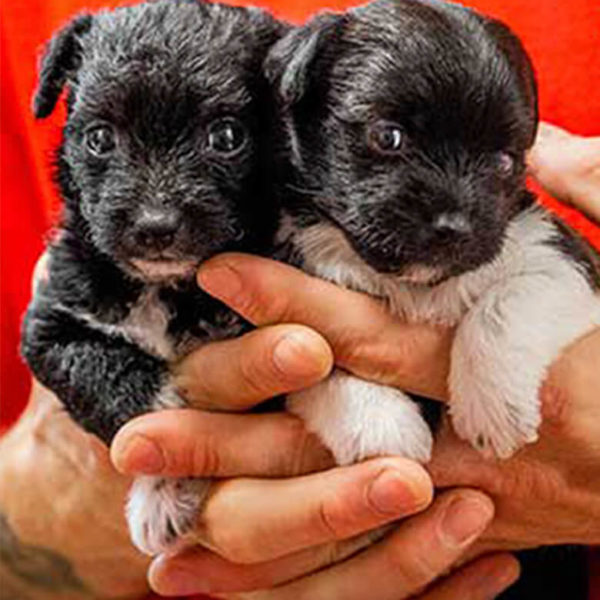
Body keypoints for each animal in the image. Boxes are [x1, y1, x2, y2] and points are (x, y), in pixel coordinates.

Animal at [22, 0, 284, 556]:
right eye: (100, 138)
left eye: (226, 136)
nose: (154, 227)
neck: (162, 287)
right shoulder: (50, 321)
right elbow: (90, 368)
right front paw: (160, 471)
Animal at [268, 0, 600, 464]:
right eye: (388, 137)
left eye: (503, 161)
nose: (455, 227)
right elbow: (316, 353)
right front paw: (380, 423)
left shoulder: (564, 260)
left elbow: (506, 303)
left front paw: (493, 409)